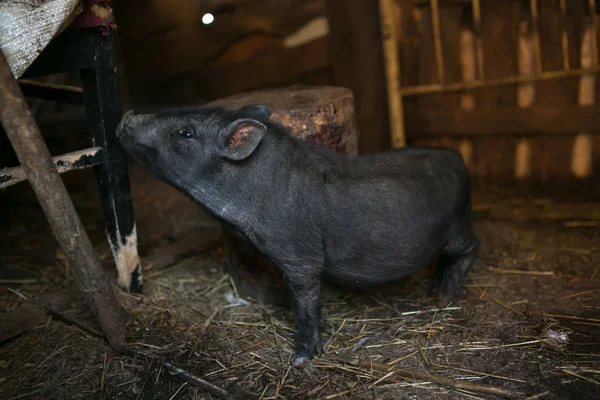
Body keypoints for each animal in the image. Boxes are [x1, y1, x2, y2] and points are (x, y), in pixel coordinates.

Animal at [117, 104, 480, 368]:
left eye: (185, 132)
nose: (128, 114)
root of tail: (459, 159)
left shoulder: (300, 256)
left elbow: (305, 302)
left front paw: (299, 360)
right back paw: (433, 289)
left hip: (458, 227)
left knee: (472, 247)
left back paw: (443, 297)